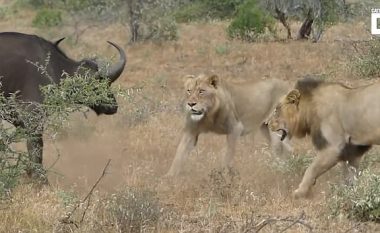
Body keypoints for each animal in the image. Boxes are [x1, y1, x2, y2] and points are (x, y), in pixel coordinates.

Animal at [0, 31, 127, 180]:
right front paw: (40, 179)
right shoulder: (33, 117)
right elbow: (36, 148)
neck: (52, 66)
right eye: (97, 83)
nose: (113, 106)